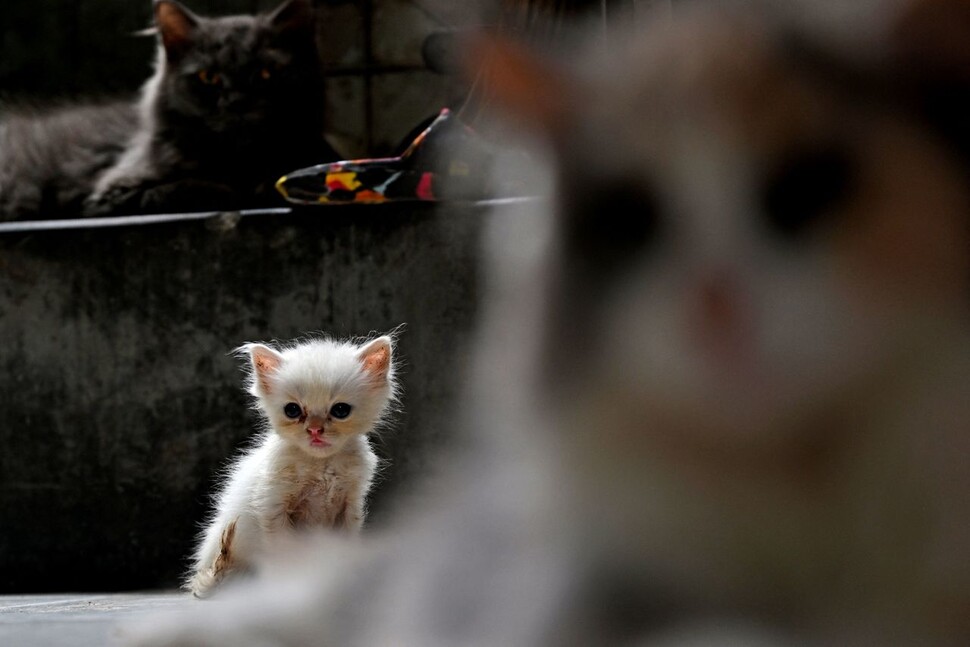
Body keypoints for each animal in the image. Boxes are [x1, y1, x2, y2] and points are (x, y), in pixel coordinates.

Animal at [0, 0, 336, 220]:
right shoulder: (109, 194)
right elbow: (173, 188)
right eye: (209, 78)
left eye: (265, 74)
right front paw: (230, 191)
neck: (235, 159)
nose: (237, 102)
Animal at [185, 334, 398, 596]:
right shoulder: (273, 507)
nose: (315, 430)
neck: (321, 465)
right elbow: (285, 554)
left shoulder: (350, 507)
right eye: (292, 410)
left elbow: (343, 548)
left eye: (340, 410)